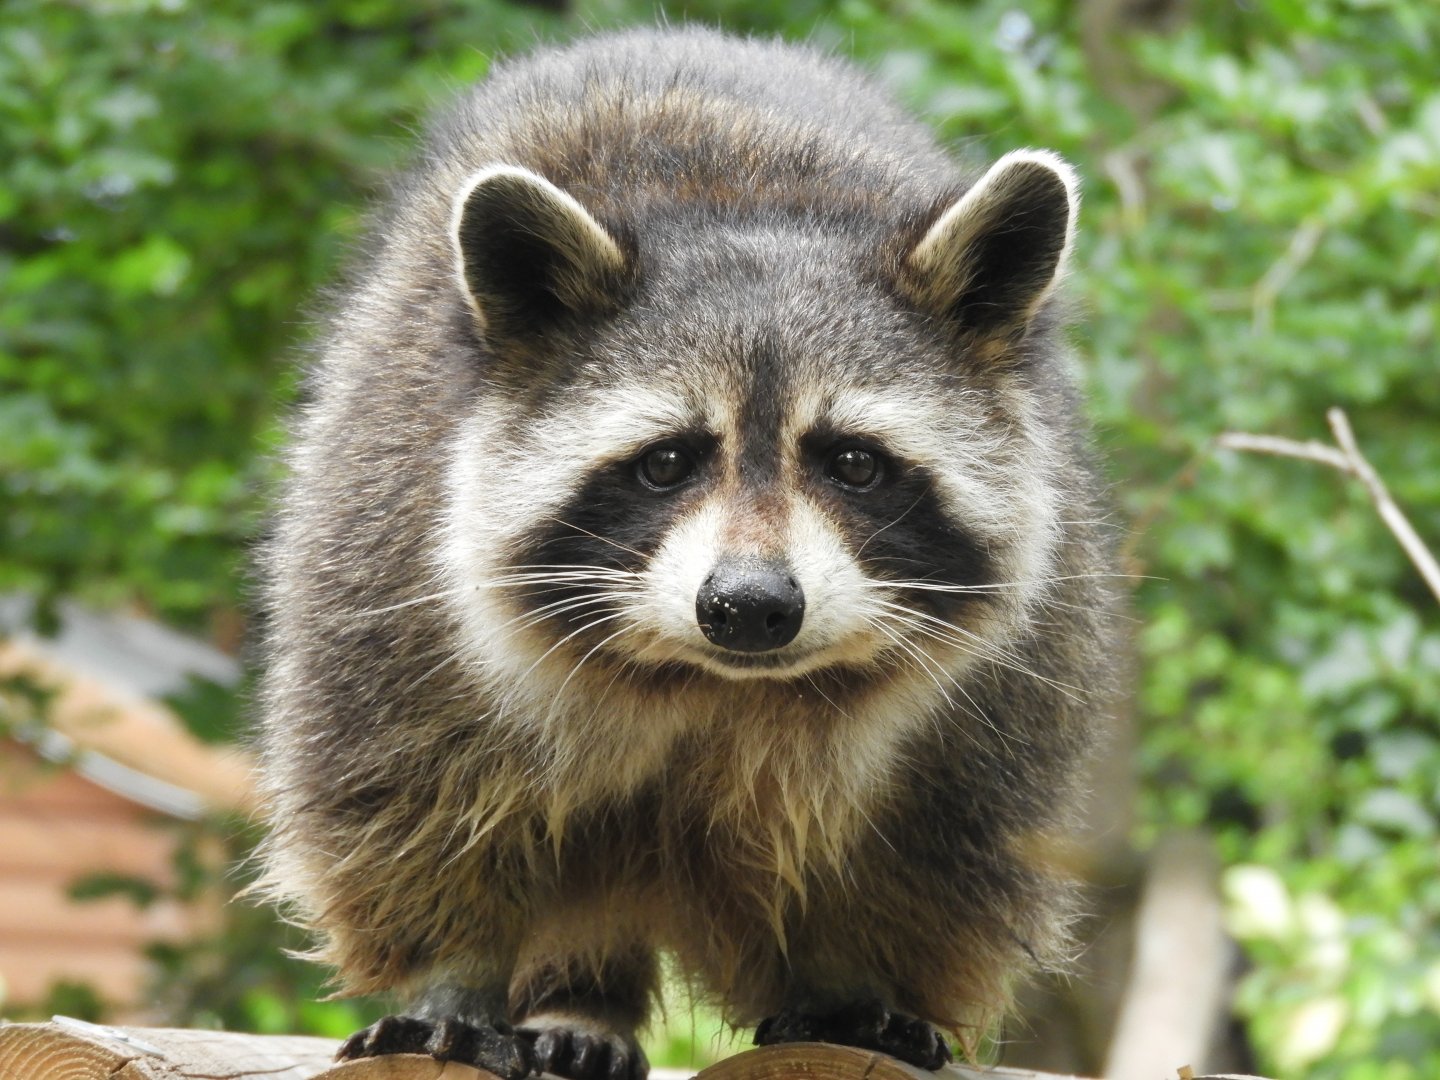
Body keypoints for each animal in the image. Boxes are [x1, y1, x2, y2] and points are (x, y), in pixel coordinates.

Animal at [256, 25, 1119, 1080]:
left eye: (853, 463)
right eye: (668, 461)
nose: (749, 606)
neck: (716, 687)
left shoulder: (1006, 703)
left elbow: (926, 853)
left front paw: (855, 981)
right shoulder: (381, 565)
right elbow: (407, 811)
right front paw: (454, 974)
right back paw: (579, 1005)